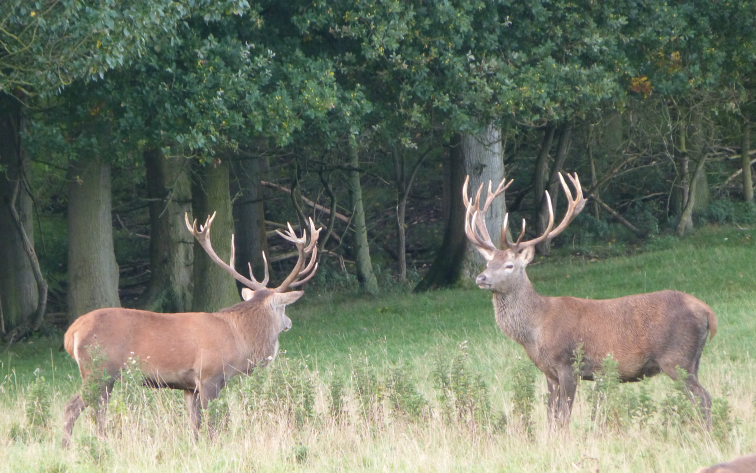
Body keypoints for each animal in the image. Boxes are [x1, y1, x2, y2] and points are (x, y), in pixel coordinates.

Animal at [62, 212, 320, 449]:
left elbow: (194, 426)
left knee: (96, 410)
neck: (239, 339)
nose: (289, 324)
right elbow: (212, 423)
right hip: (98, 369)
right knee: (74, 408)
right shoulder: (209, 376)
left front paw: (196, 448)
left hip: (103, 376)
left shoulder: (190, 387)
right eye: (284, 307)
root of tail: (70, 332)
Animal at [463, 172, 717, 429]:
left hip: (677, 358)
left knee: (703, 398)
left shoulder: (568, 363)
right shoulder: (549, 373)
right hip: (692, 360)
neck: (535, 331)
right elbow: (550, 417)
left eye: (509, 265)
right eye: (488, 263)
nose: (481, 277)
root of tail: (709, 313)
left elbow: (564, 416)